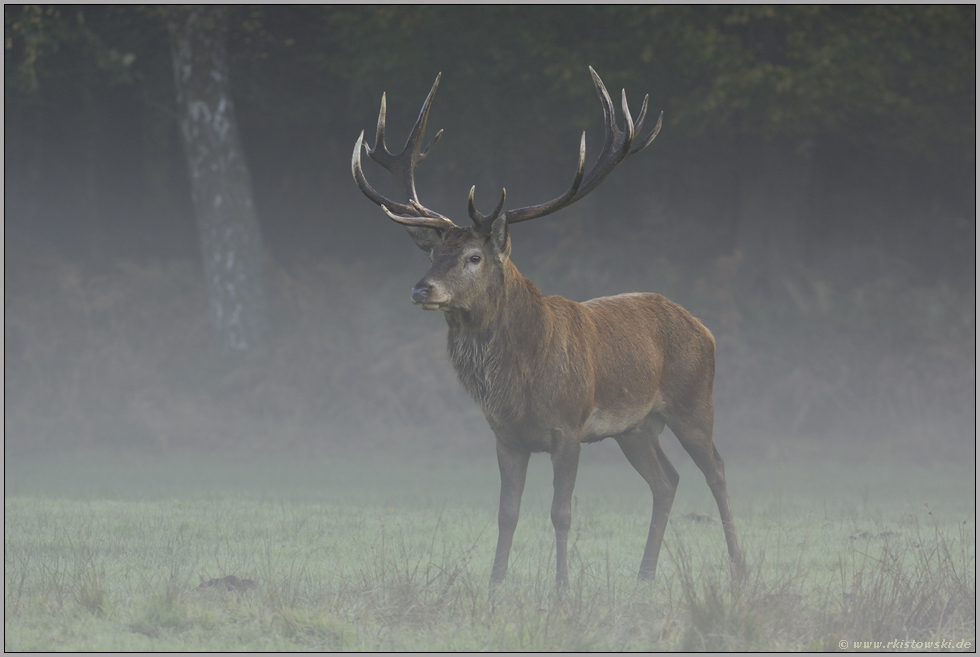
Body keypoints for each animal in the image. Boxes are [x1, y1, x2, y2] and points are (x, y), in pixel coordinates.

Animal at [352, 68, 744, 588]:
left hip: (693, 402)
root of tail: (705, 328)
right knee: (667, 481)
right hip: (636, 427)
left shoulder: (569, 428)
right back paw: (644, 574)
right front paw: (495, 583)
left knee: (716, 470)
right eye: (433, 253)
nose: (422, 289)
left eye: (473, 257)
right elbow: (507, 512)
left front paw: (561, 587)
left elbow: (561, 512)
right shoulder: (505, 436)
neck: (520, 382)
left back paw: (739, 568)